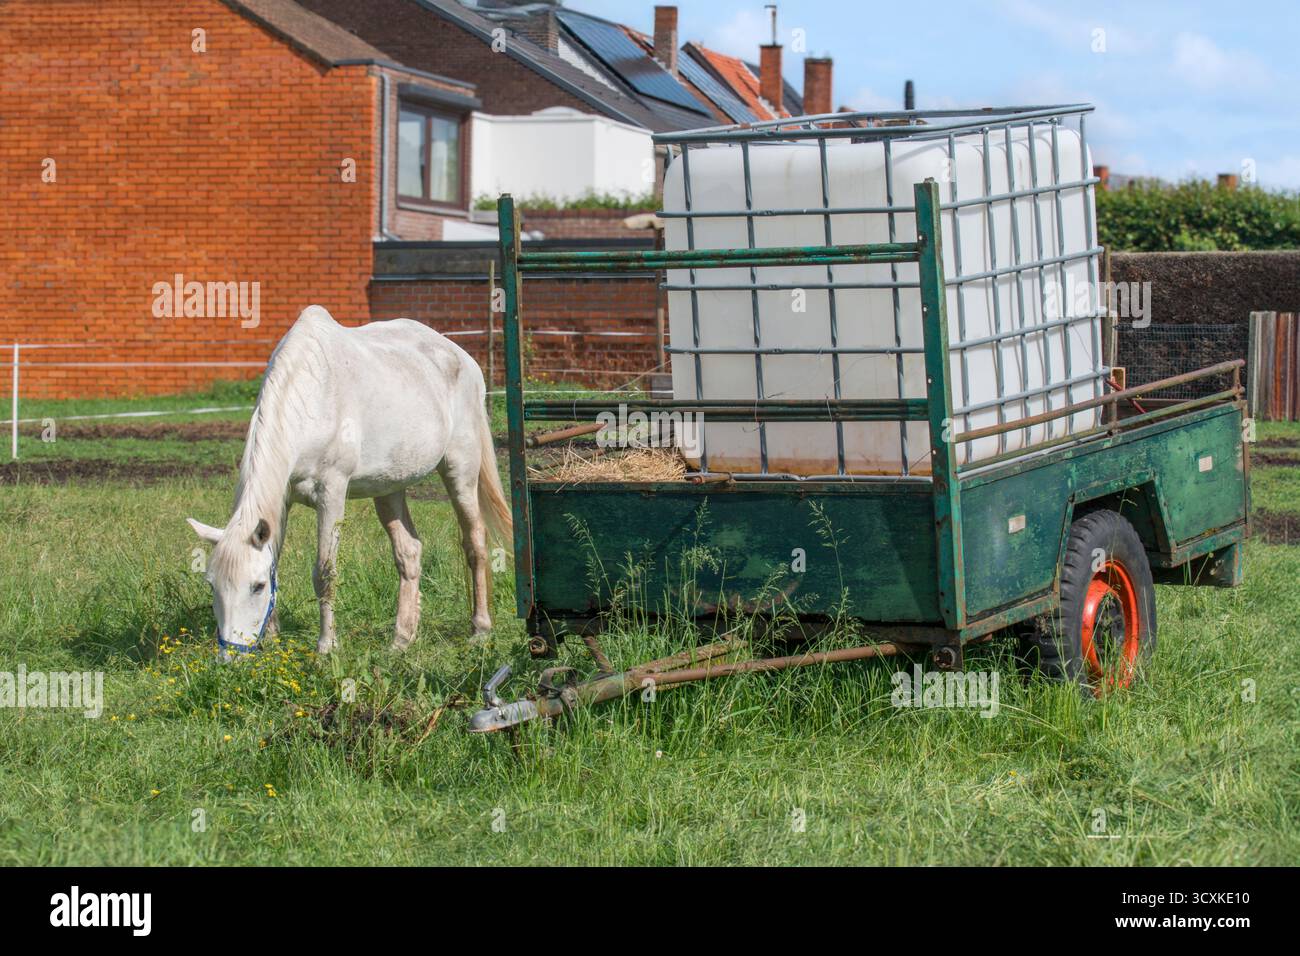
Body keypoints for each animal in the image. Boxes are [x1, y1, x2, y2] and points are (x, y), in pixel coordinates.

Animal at [186, 305, 512, 656]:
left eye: (257, 586)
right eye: (212, 584)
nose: (231, 655)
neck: (312, 396)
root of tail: (462, 358)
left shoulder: (332, 493)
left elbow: (325, 572)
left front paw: (327, 646)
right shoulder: (282, 500)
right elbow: (276, 560)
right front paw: (272, 639)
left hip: (460, 470)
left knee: (475, 542)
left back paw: (480, 629)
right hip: (390, 487)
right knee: (409, 552)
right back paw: (401, 639)